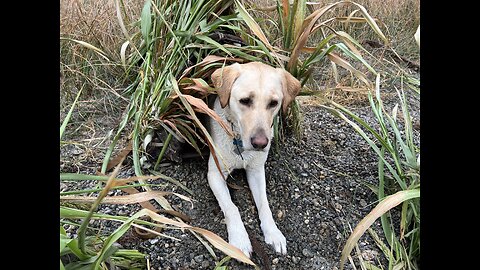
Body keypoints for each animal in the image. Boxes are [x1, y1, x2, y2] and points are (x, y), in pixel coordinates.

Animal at [207, 61, 300, 258]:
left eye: (273, 103)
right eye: (245, 100)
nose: (260, 143)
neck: (238, 141)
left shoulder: (256, 171)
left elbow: (264, 204)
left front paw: (273, 232)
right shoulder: (215, 174)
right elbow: (232, 207)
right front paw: (240, 238)